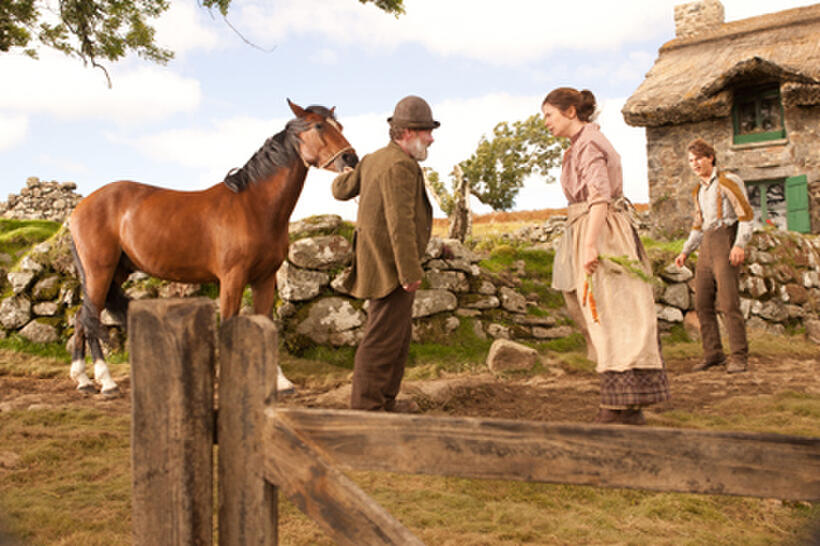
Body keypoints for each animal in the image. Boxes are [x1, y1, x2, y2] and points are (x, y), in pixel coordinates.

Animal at [68, 99, 358, 397]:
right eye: (319, 126)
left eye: (339, 126)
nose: (351, 160)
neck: (254, 207)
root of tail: (80, 208)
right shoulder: (232, 278)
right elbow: (228, 322)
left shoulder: (265, 278)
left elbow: (267, 322)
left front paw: (281, 382)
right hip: (99, 272)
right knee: (90, 319)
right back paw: (106, 382)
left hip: (115, 272)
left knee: (80, 317)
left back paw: (83, 380)